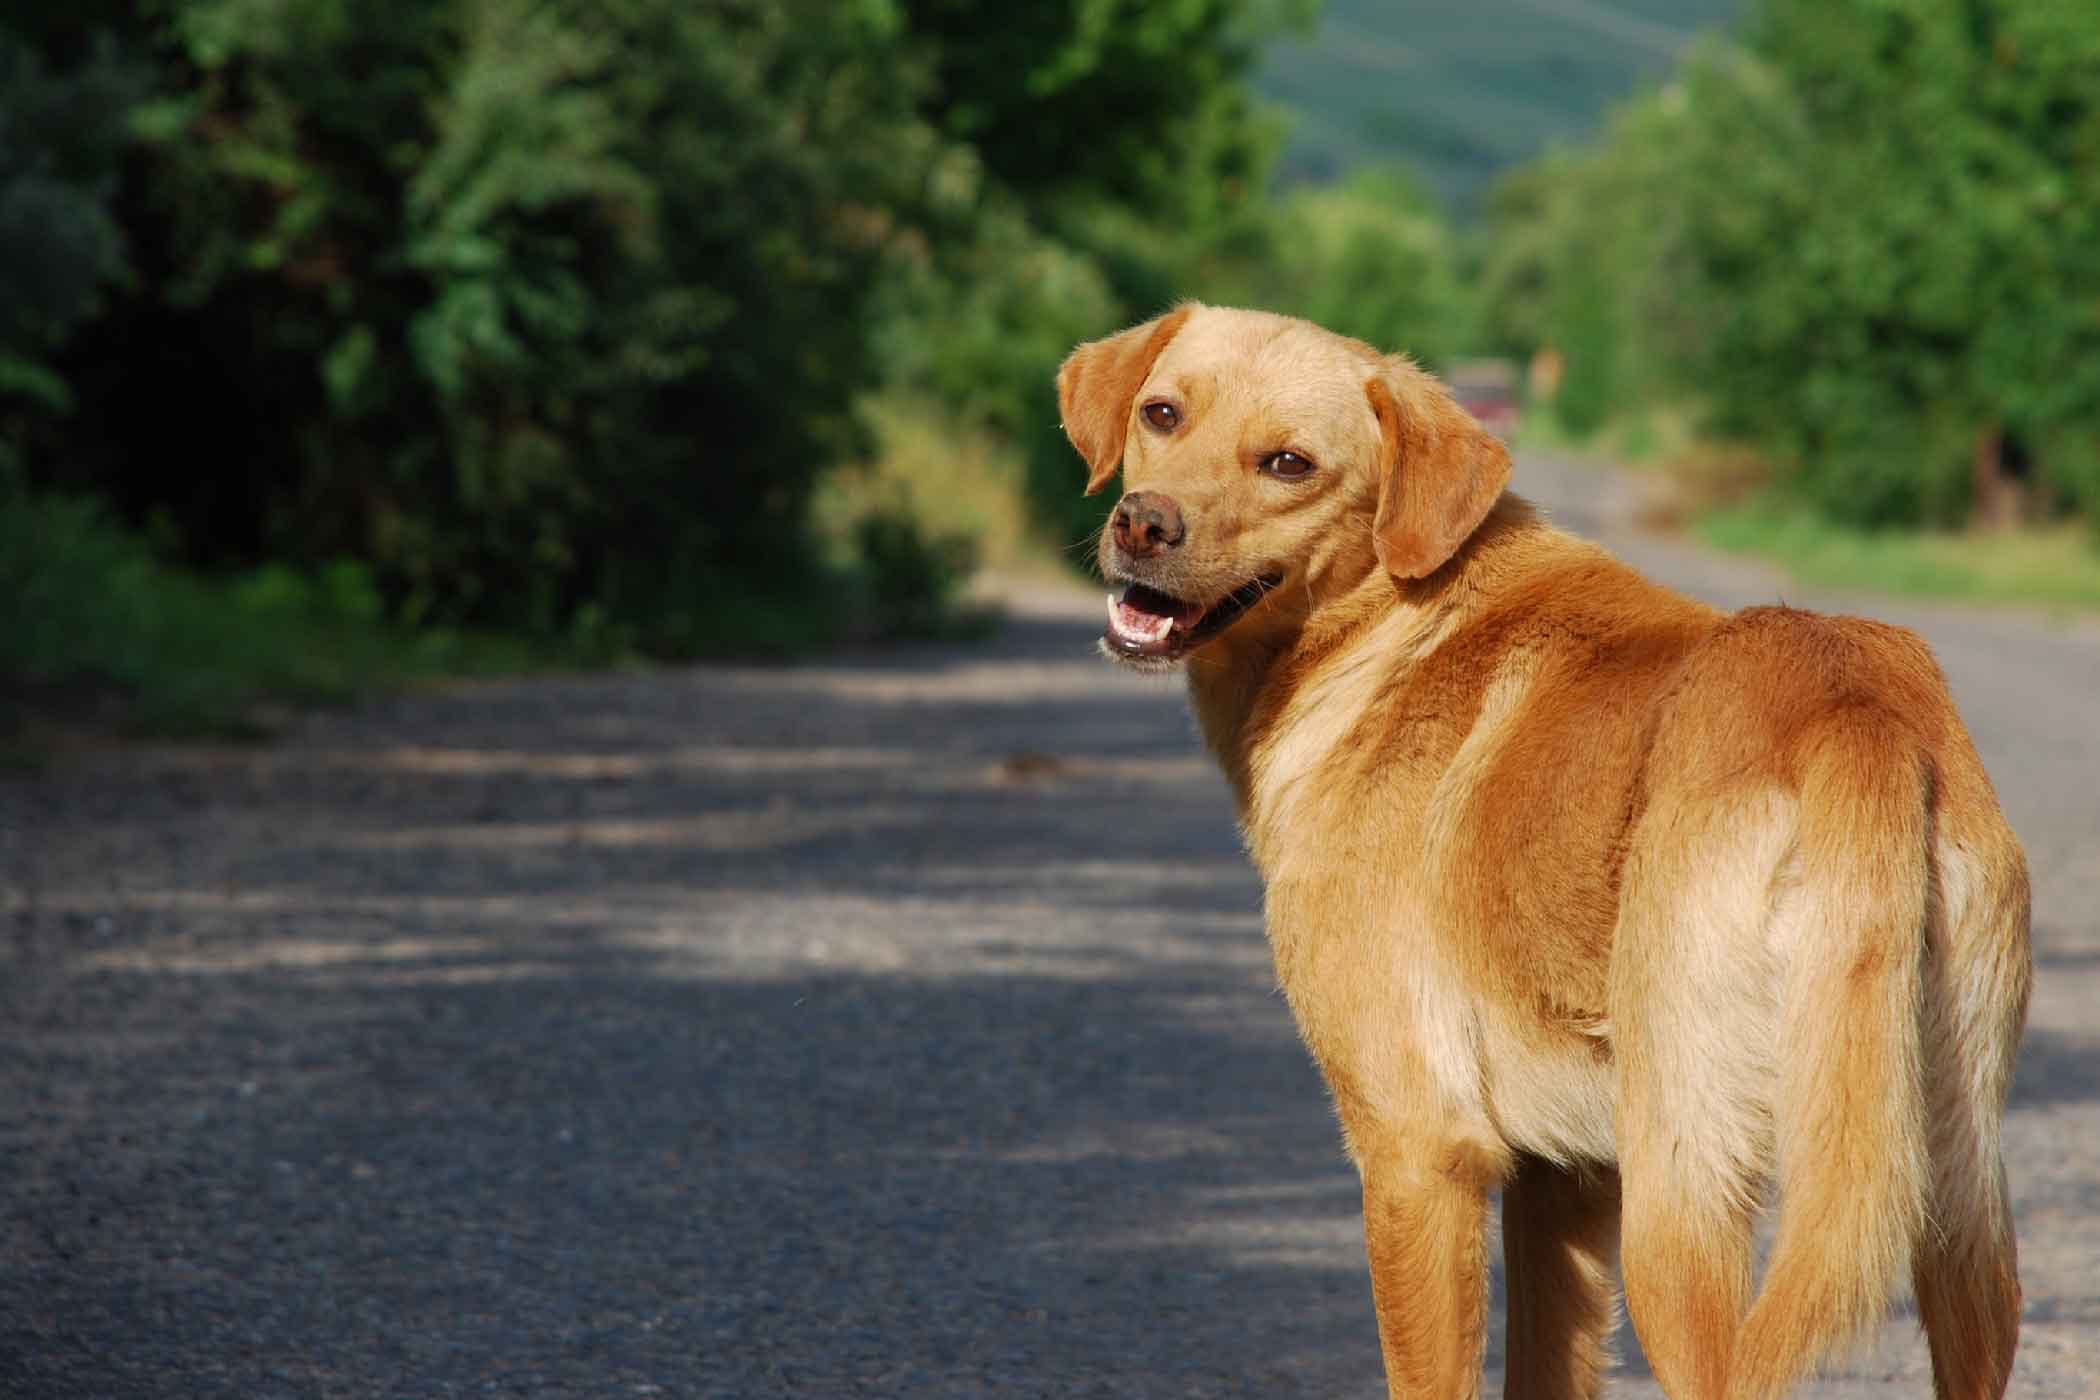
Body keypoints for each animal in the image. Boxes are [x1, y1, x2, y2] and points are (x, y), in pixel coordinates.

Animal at [1058, 308, 2024, 1400]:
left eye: (1288, 464)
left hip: (1681, 1212)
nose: (1143, 522)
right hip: (1959, 1217)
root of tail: (1853, 710)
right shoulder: (1564, 1177)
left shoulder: (1417, 1154)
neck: (1384, 626)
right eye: (1161, 413)